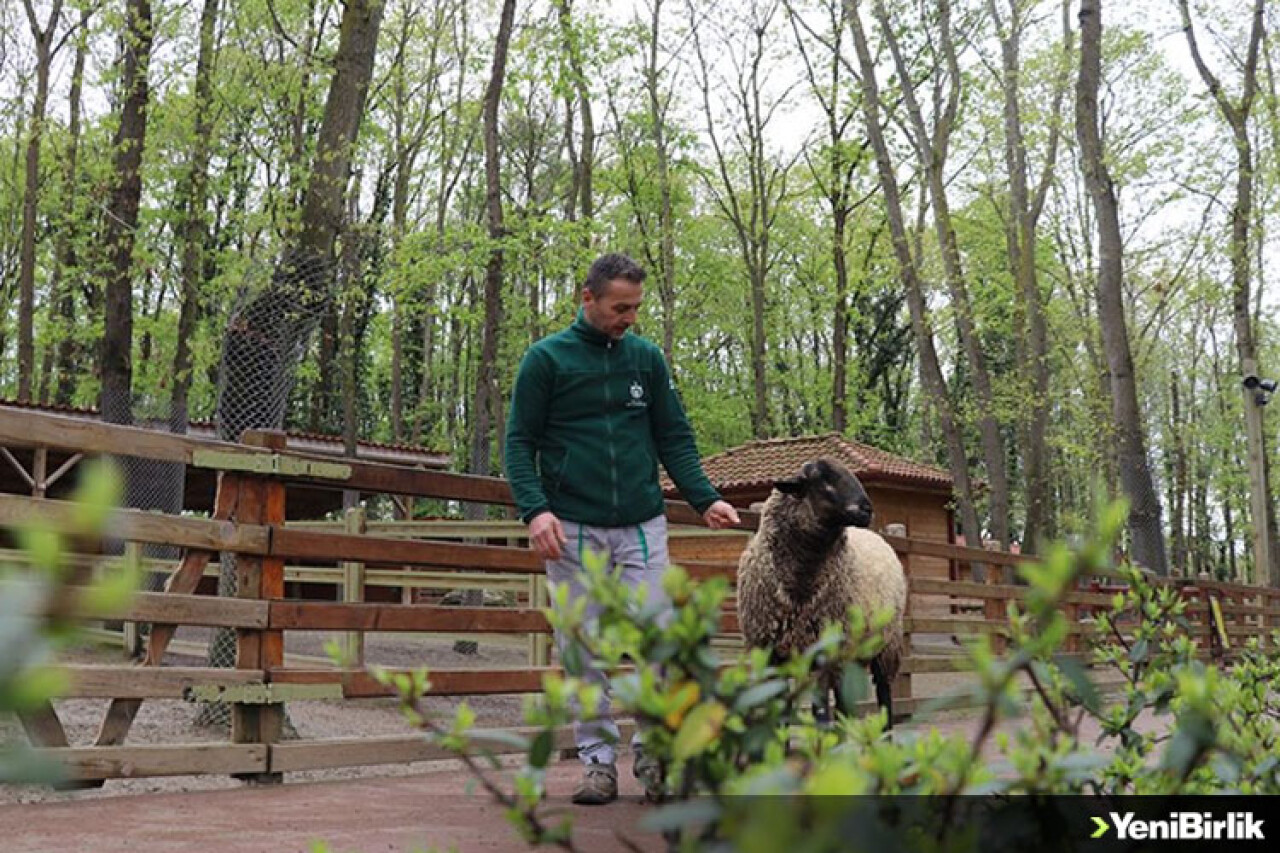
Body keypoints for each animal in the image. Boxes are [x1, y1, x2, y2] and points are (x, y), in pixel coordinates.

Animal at [737, 458, 906, 722]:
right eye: (823, 479)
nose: (867, 509)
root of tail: (878, 537)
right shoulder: (770, 653)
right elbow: (781, 708)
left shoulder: (824, 649)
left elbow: (820, 708)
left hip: (886, 642)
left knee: (882, 689)